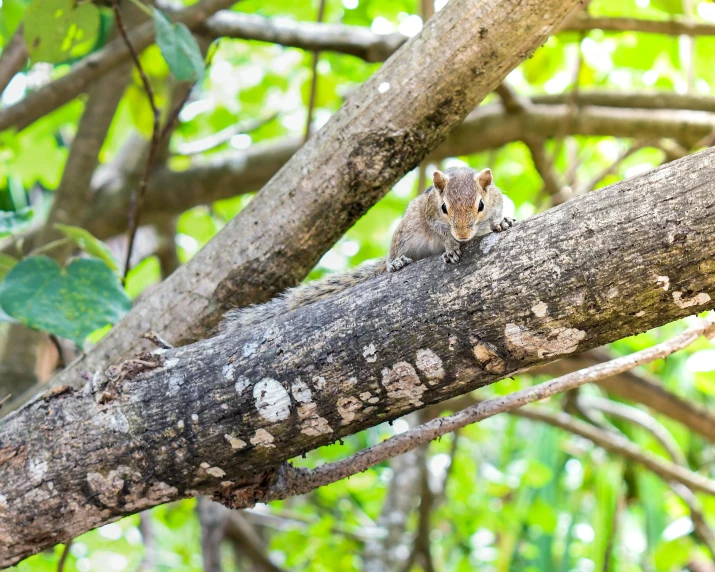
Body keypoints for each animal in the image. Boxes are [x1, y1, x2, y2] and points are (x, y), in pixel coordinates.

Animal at [220, 166, 516, 330]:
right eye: (444, 208)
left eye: (480, 205)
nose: (463, 235)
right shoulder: (428, 213)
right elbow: (438, 231)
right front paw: (451, 245)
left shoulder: (497, 199)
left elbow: (498, 213)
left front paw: (501, 222)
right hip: (406, 232)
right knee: (394, 255)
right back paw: (395, 263)